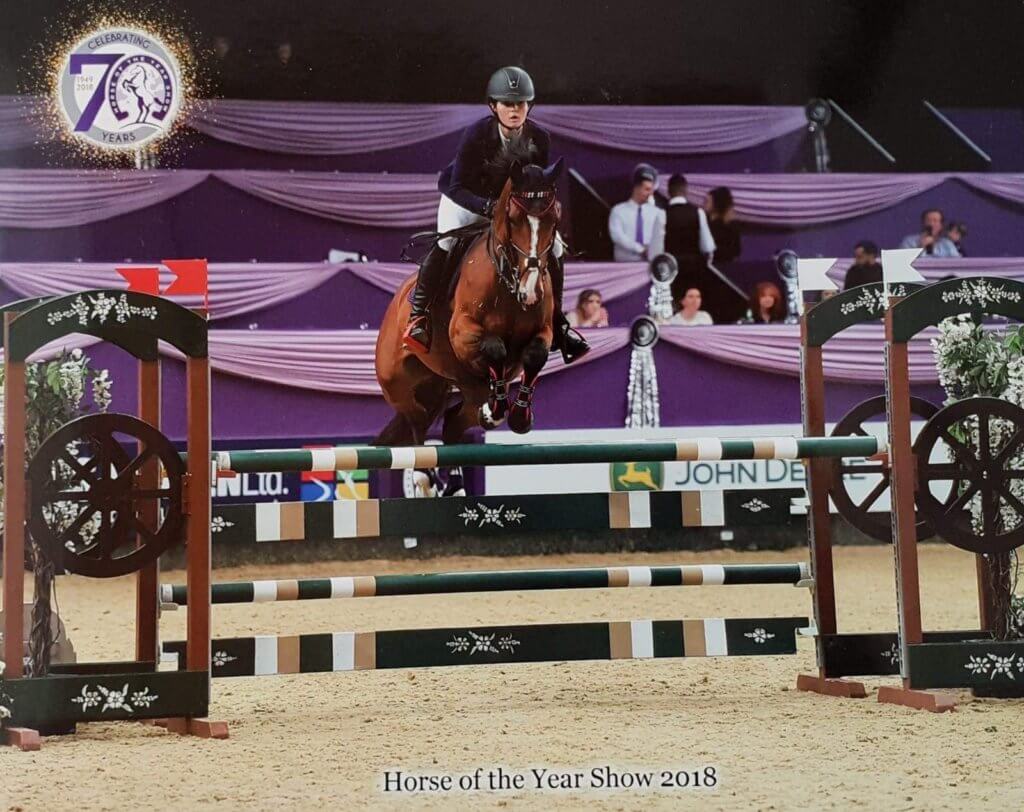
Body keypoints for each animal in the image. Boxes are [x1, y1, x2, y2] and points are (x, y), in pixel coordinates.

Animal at [375, 150, 564, 459]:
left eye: (554, 218)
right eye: (514, 219)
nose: (530, 291)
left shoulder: (544, 331)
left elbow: (535, 354)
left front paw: (519, 417)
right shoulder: (462, 332)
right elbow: (494, 347)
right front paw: (496, 409)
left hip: (452, 387)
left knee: (454, 419)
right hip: (397, 384)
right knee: (417, 423)